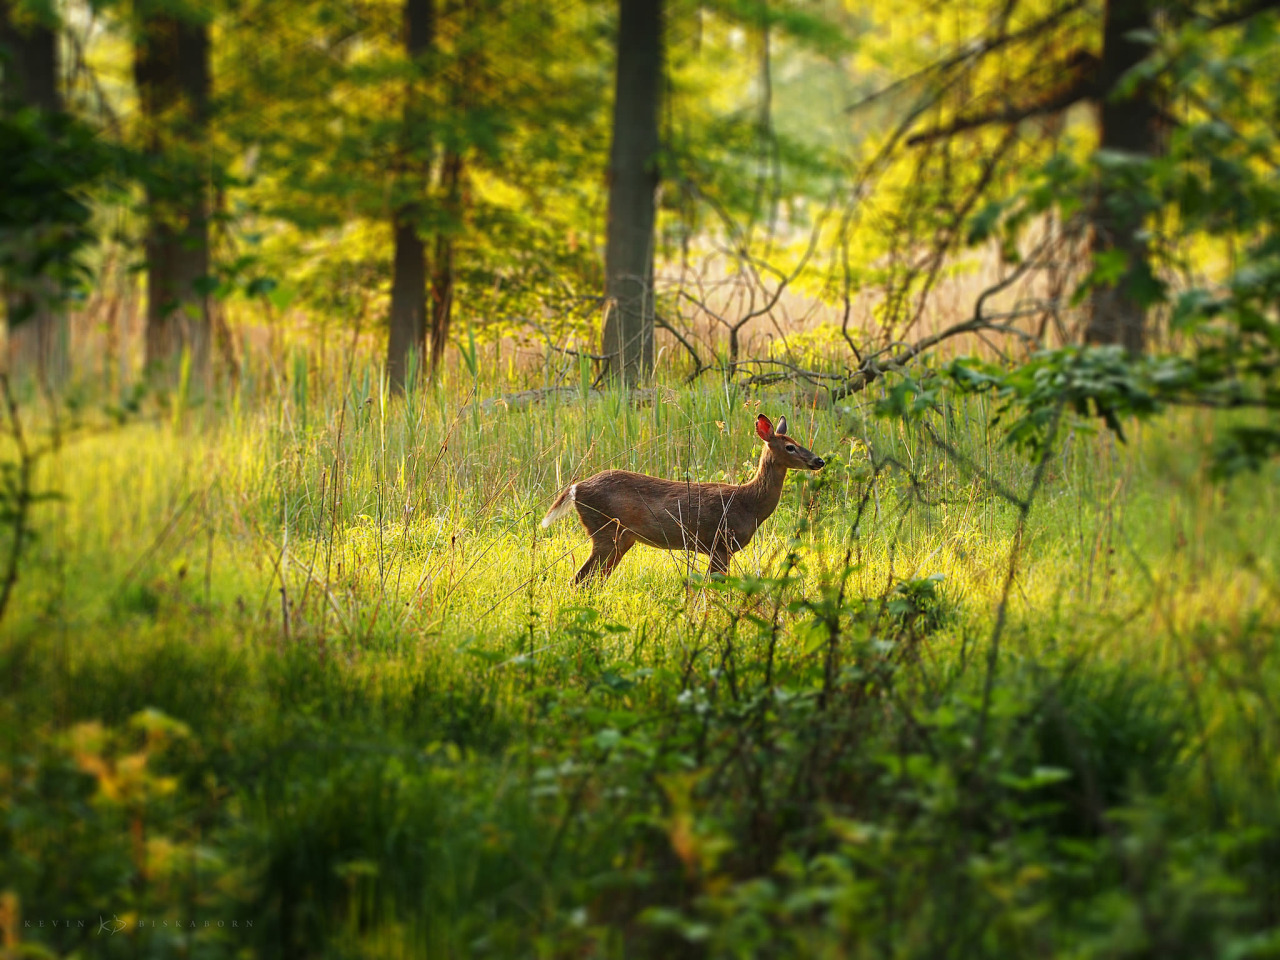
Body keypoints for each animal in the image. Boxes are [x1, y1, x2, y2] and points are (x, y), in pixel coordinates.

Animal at [542, 414, 829, 586]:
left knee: (591, 580)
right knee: (579, 579)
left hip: (621, 538)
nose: (819, 461)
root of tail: (575, 488)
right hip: (605, 531)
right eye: (790, 446)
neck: (749, 504)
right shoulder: (720, 542)